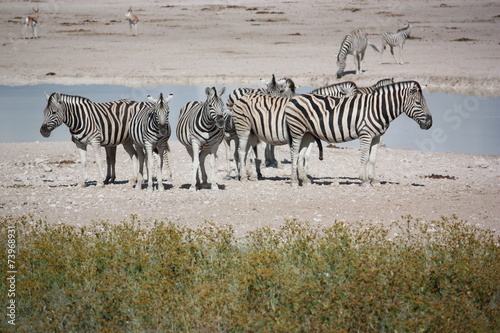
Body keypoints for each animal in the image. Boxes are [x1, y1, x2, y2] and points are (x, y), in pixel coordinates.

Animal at [286, 79, 434, 185]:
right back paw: (294, 181)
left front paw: (373, 180)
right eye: (418, 103)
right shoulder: (366, 134)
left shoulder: (377, 136)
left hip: (307, 133)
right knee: (294, 153)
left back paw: (305, 180)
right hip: (297, 131)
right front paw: (364, 180)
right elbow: (364, 156)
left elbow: (373, 158)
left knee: (300, 154)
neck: (378, 108)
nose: (430, 124)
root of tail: (293, 99)